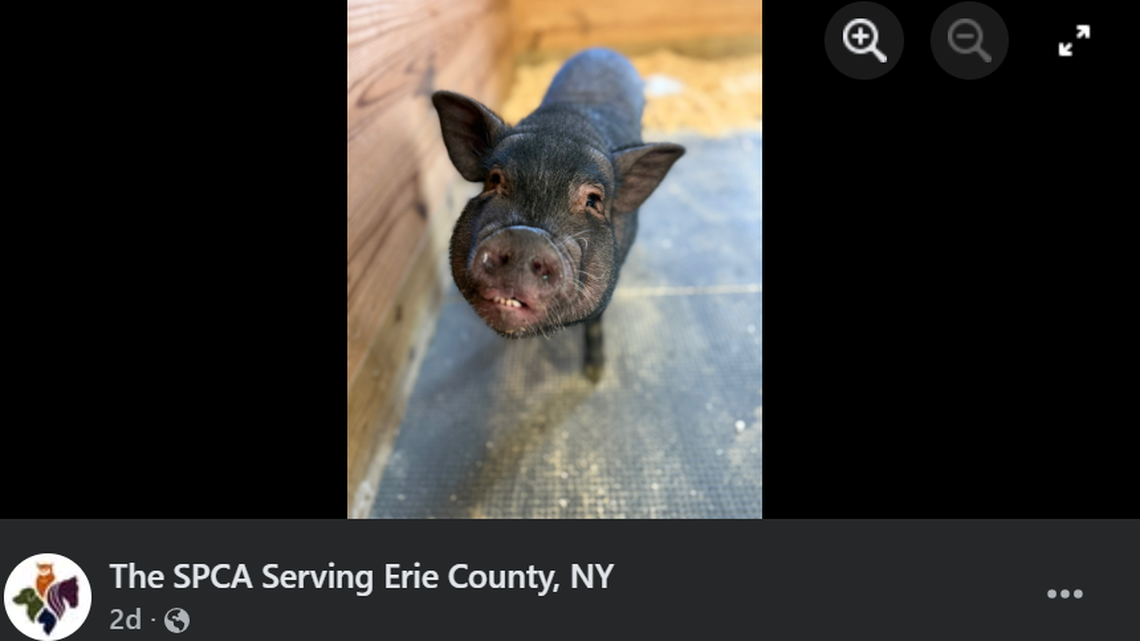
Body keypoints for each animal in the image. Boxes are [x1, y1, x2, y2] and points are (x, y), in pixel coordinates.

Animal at [432, 48, 684, 381]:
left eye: (593, 200)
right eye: (494, 180)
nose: (523, 239)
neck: (563, 127)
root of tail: (602, 48)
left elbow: (594, 325)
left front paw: (594, 374)